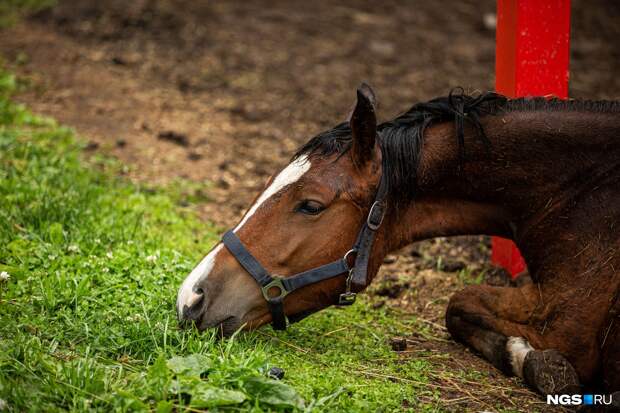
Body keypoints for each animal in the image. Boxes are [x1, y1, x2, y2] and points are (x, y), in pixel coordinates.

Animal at [177, 83, 620, 396]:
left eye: (311, 206)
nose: (191, 297)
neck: (581, 191)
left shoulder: (565, 321)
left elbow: (460, 301)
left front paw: (537, 362)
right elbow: (458, 307)